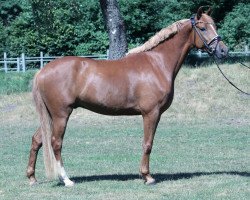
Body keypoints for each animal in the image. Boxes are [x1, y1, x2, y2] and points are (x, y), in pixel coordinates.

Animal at [26, 7, 228, 186]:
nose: (223, 51)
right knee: (55, 143)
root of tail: (43, 71)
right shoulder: (151, 113)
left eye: (214, 25)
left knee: (37, 140)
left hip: (50, 116)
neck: (157, 63)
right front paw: (147, 177)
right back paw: (66, 180)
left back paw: (32, 178)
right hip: (61, 115)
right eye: (203, 28)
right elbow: (147, 143)